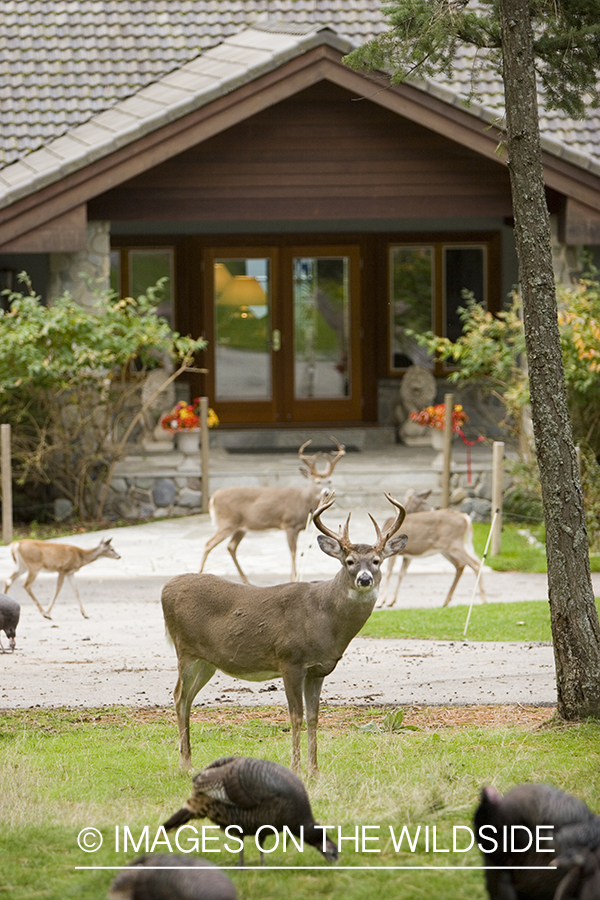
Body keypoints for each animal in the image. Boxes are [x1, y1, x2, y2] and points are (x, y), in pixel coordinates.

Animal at [163, 492, 408, 772]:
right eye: (350, 561)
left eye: (377, 561)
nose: (365, 579)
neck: (324, 619)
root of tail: (165, 588)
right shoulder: (290, 659)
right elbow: (295, 716)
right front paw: (296, 768)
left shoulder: (318, 669)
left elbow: (313, 717)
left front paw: (315, 771)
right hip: (185, 650)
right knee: (179, 696)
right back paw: (185, 764)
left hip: (207, 660)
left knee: (187, 698)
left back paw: (187, 761)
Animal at [199, 438, 344, 584]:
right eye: (317, 481)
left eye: (330, 481)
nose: (326, 492)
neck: (304, 502)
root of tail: (213, 497)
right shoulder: (289, 524)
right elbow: (293, 551)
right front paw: (293, 578)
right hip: (227, 522)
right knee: (208, 544)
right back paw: (200, 573)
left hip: (240, 527)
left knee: (231, 546)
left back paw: (246, 580)